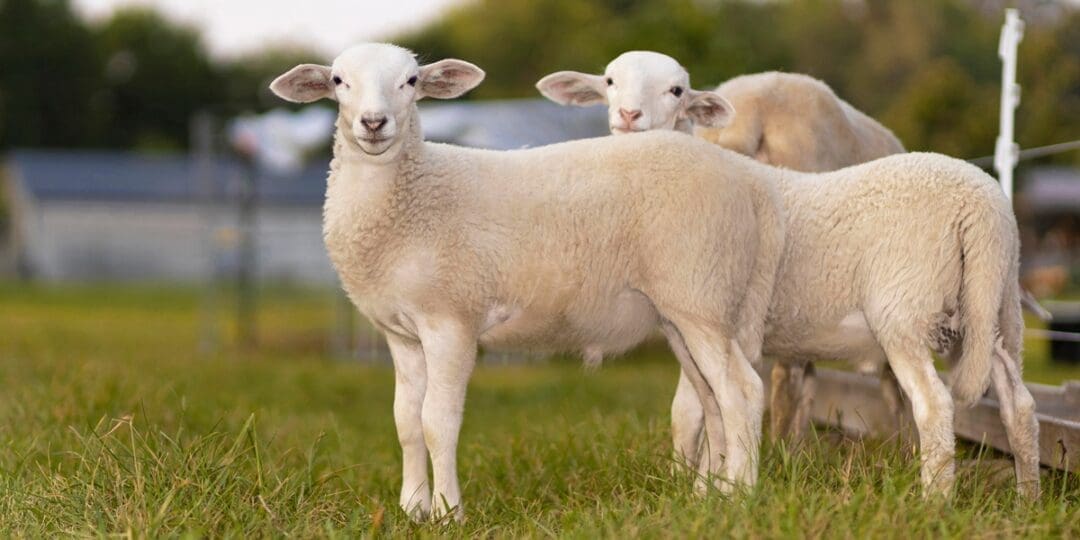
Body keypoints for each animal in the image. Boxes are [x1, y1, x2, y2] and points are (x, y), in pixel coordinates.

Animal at [269, 43, 786, 521]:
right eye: (339, 81)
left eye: (411, 81)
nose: (374, 123)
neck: (412, 195)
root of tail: (747, 183)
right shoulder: (402, 333)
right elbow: (406, 422)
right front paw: (411, 508)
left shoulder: (452, 320)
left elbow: (438, 421)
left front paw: (447, 513)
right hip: (693, 306)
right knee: (712, 400)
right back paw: (711, 496)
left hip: (701, 296)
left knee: (741, 392)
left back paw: (741, 496)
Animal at [539, 52, 1040, 498]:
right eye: (609, 80)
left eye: (677, 89)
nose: (628, 115)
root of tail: (979, 206)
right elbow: (692, 408)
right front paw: (690, 484)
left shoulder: (706, 317)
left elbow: (706, 403)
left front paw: (701, 488)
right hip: (992, 315)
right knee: (1018, 406)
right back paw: (1025, 499)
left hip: (904, 310)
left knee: (929, 405)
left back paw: (930, 499)